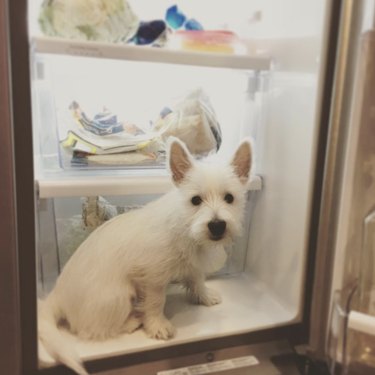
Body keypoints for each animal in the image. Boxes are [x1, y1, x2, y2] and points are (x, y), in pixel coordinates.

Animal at [38, 138, 253, 375]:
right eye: (195, 200)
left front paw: (204, 296)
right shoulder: (153, 278)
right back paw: (132, 321)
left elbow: (197, 280)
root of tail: (56, 296)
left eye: (229, 198)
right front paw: (157, 325)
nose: (217, 226)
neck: (184, 226)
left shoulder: (192, 265)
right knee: (91, 329)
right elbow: (156, 302)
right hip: (119, 296)